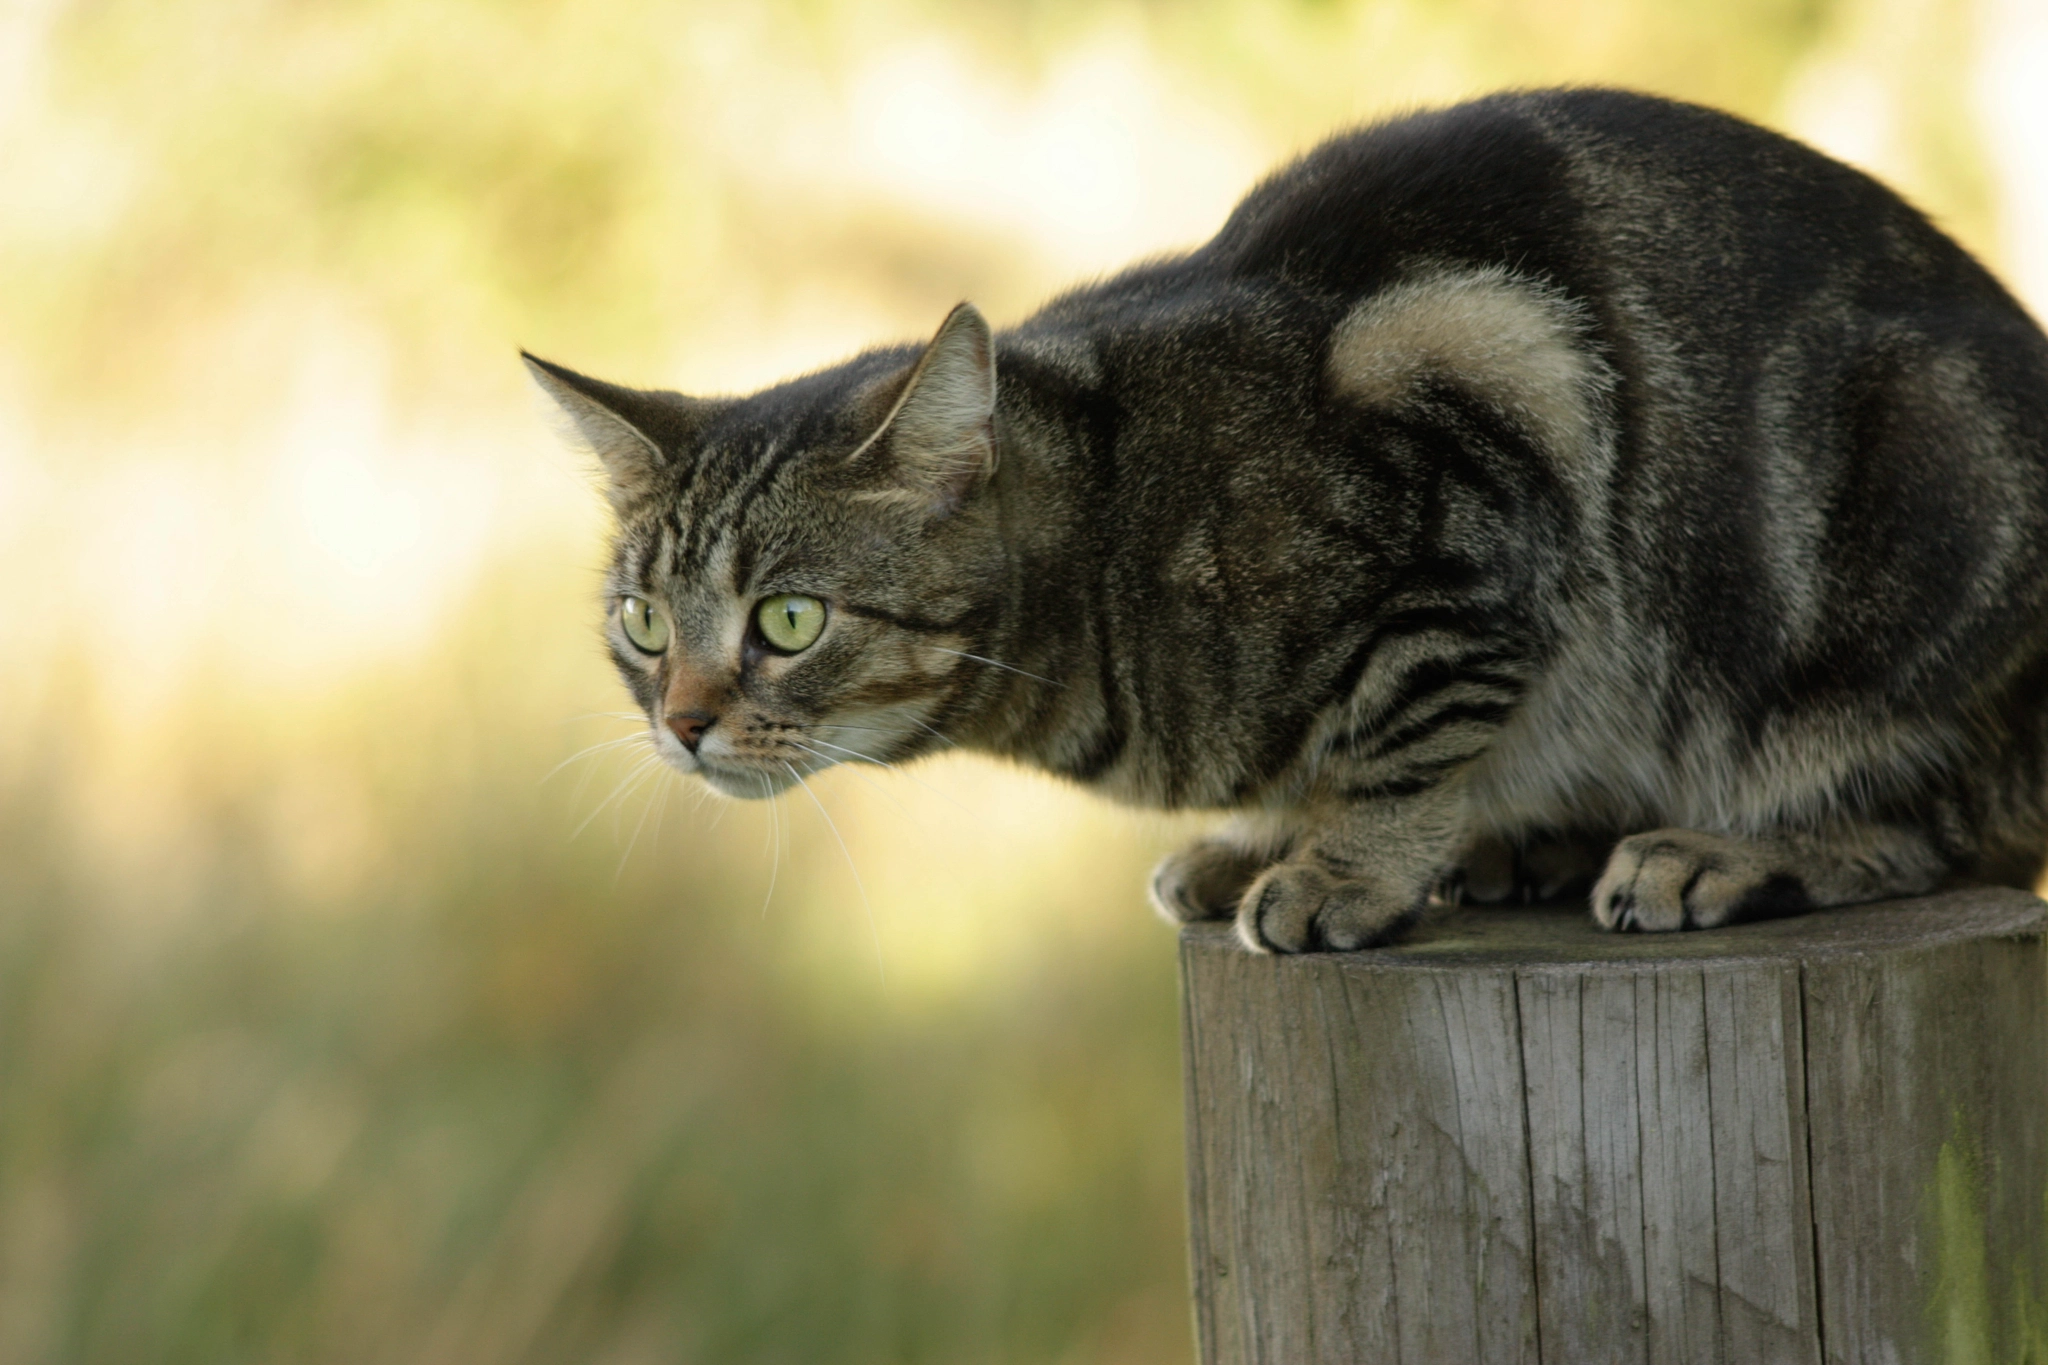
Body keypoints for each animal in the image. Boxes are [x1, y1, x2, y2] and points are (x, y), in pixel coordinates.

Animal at [524, 90, 2048, 957]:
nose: (683, 721)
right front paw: (1279, 839)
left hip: (1899, 532)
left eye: (788, 620)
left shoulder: (1481, 429)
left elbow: (1403, 737)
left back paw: (1724, 849)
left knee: (1944, 825)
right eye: (643, 624)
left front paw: (1344, 869)